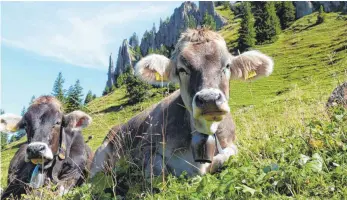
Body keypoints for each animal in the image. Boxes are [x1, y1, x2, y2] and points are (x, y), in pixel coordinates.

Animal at [91, 28, 276, 180]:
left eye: (227, 66)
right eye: (182, 69)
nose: (209, 99)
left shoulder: (230, 143)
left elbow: (224, 157)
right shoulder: (145, 146)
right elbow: (158, 171)